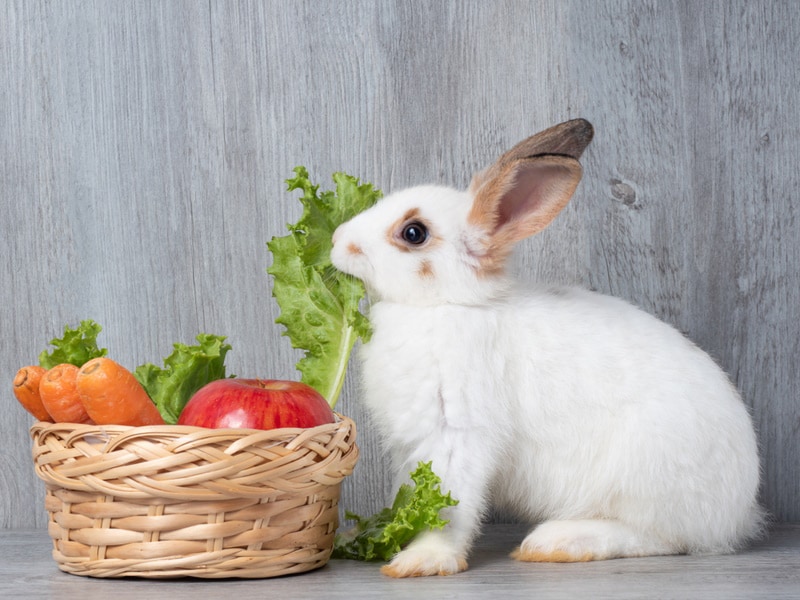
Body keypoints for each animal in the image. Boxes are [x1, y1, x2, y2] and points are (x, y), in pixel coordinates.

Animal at [329, 119, 763, 578]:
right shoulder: (410, 449)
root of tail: (741, 510)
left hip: (645, 480)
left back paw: (558, 542)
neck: (448, 304)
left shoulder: (458, 435)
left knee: (662, 538)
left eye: (413, 233)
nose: (337, 240)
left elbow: (451, 507)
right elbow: (409, 495)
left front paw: (421, 559)